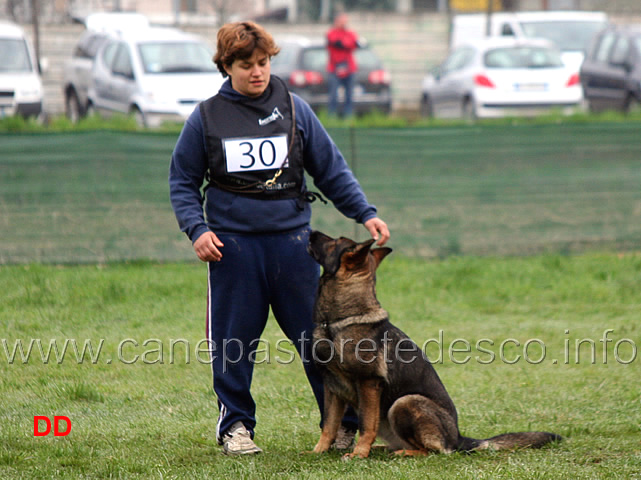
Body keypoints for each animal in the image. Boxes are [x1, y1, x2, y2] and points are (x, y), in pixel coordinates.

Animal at [306, 231, 560, 460]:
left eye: (336, 241)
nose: (310, 232)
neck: (336, 322)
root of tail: (459, 438)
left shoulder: (368, 383)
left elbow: (366, 425)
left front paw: (358, 454)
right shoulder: (332, 387)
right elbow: (329, 425)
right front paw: (318, 451)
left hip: (405, 402)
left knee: (434, 450)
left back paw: (402, 452)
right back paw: (381, 449)